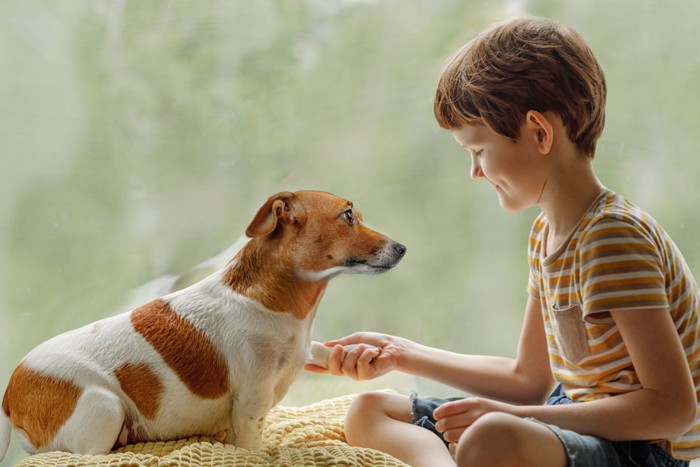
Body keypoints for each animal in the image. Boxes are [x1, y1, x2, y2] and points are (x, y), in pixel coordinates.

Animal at [0, 191, 404, 460]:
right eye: (348, 216)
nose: (401, 248)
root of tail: (8, 396)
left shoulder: (300, 350)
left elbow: (321, 350)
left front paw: (360, 352)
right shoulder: (252, 403)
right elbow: (252, 446)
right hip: (104, 408)